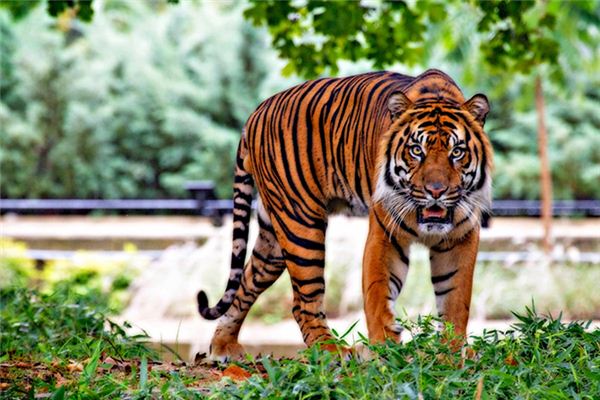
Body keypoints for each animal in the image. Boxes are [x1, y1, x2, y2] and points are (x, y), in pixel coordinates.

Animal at [197, 68, 492, 360]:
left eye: (457, 152)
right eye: (416, 150)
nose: (436, 191)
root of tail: (255, 112)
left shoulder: (461, 238)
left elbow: (456, 299)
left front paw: (451, 352)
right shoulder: (385, 235)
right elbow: (378, 293)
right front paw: (385, 350)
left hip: (273, 239)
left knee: (246, 282)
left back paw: (223, 346)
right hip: (301, 225)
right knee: (303, 302)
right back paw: (332, 350)